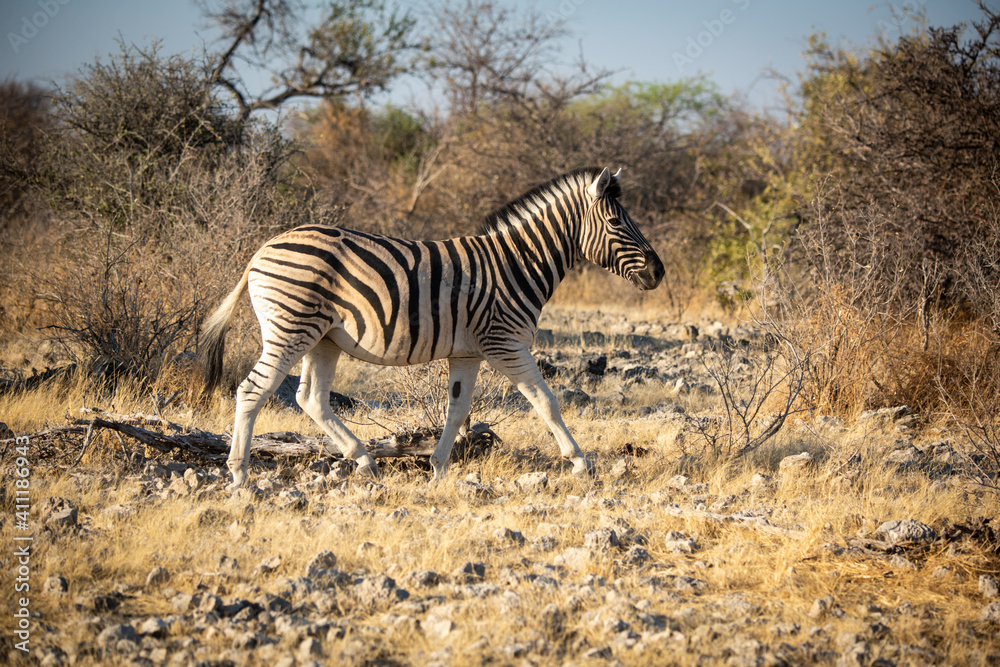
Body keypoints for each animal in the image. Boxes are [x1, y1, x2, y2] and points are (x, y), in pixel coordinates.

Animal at [200, 166, 664, 490]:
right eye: (617, 224)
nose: (659, 272)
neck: (517, 263)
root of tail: (263, 248)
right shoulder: (506, 342)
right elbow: (546, 402)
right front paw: (580, 463)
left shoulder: (468, 352)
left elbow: (457, 410)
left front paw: (438, 469)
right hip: (290, 328)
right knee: (252, 390)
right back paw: (239, 475)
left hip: (323, 338)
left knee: (310, 397)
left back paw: (364, 460)